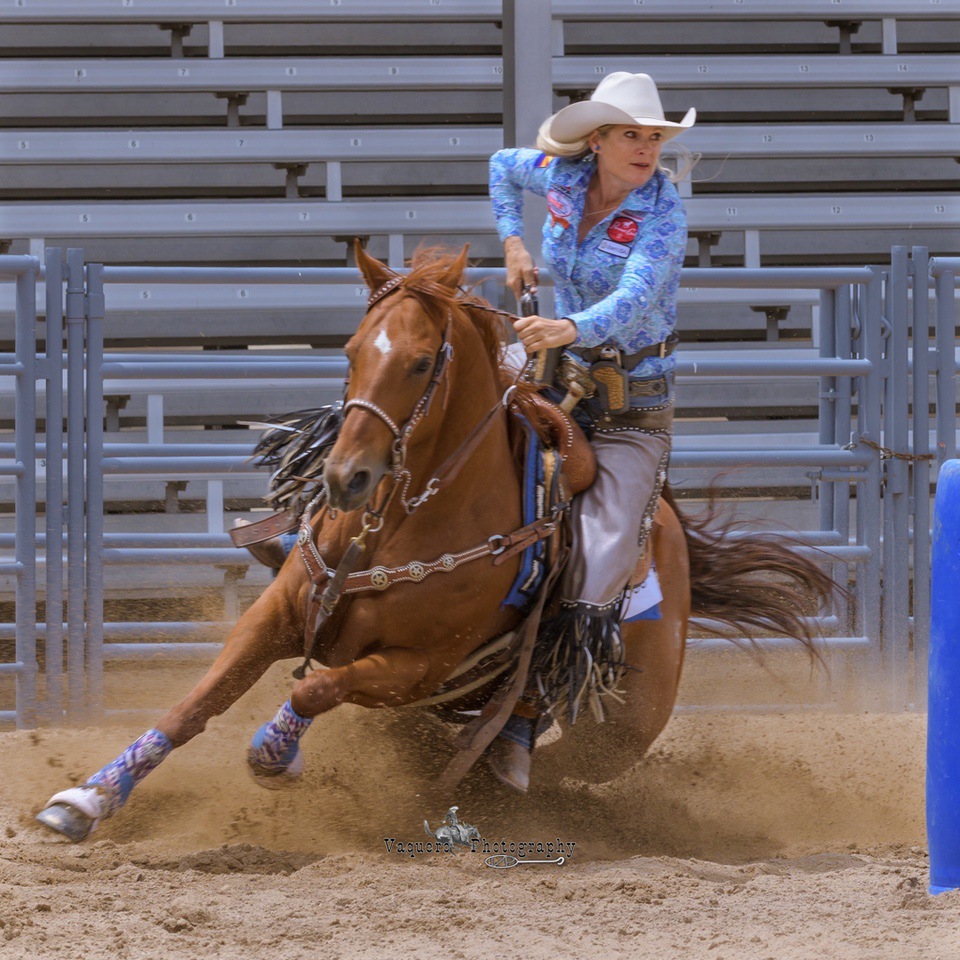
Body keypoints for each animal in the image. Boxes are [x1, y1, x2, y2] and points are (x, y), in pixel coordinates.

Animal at [35, 246, 832, 840]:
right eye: (353, 349)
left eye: (421, 362)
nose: (346, 477)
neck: (402, 524)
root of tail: (671, 539)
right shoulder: (280, 613)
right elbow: (196, 703)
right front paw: (87, 800)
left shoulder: (417, 667)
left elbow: (316, 686)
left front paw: (273, 755)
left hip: (619, 729)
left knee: (548, 765)